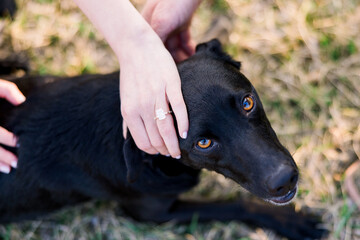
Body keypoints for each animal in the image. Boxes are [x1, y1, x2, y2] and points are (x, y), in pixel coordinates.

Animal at [0, 40, 324, 239]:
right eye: (203, 143)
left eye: (247, 102)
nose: (284, 179)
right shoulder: (153, 213)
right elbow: (234, 205)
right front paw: (289, 221)